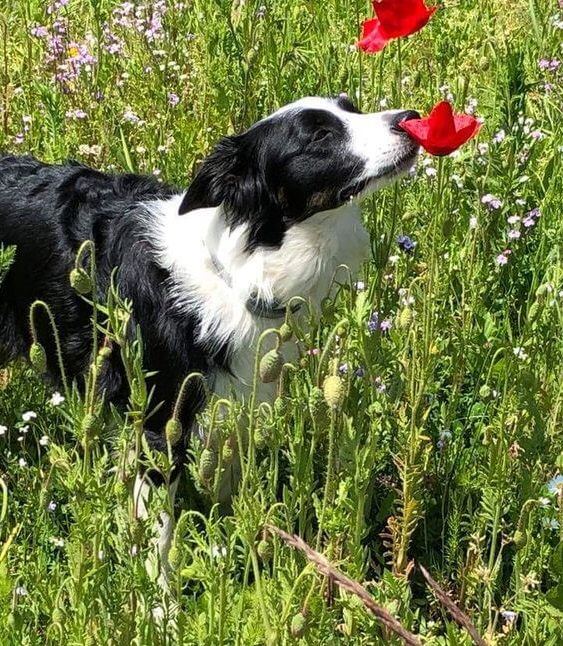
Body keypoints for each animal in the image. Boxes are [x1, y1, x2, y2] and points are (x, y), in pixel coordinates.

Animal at [0, 93, 418, 564]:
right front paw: (156, 585)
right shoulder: (159, 424)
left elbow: (228, 494)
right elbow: (158, 535)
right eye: (319, 136)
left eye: (352, 107)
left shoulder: (240, 403)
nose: (410, 119)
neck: (241, 271)